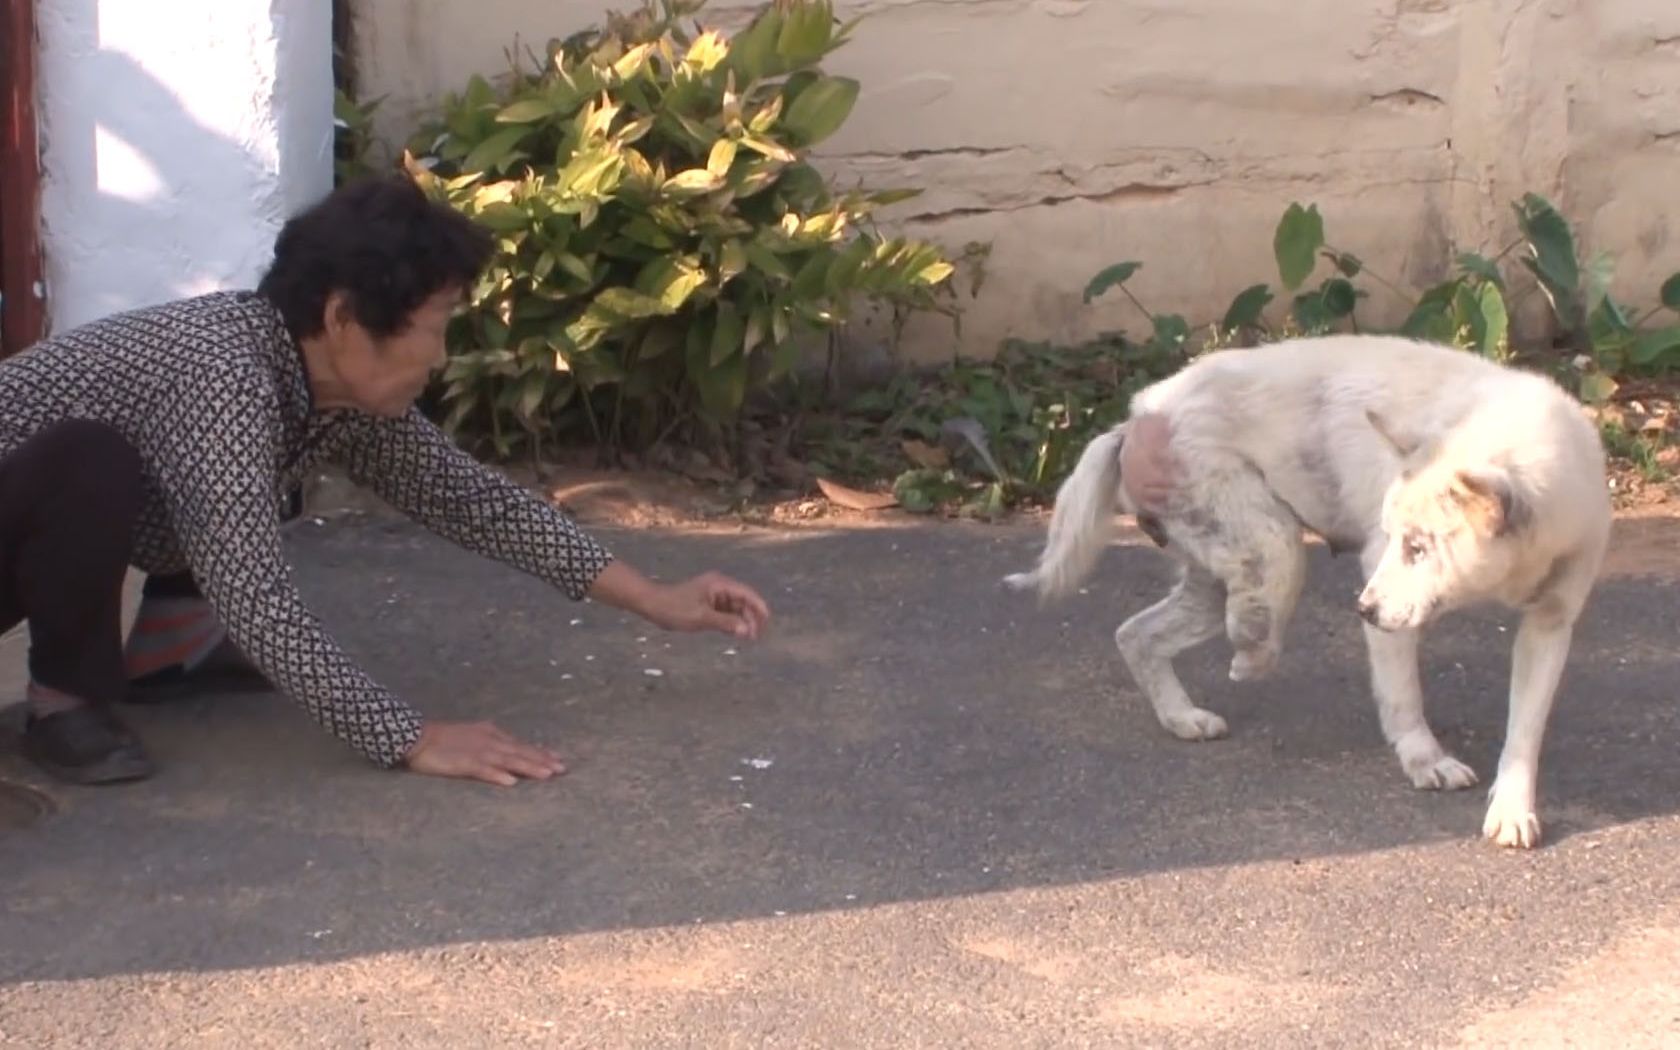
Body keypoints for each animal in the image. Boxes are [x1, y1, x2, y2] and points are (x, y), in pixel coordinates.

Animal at [1001, 330, 1619, 846]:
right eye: (1398, 540)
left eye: (1420, 549)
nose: (1361, 610)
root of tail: (1137, 416)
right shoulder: (1387, 604)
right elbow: (1404, 699)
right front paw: (1425, 761)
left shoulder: (1550, 626)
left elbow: (1525, 730)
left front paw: (1512, 809)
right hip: (1272, 548)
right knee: (1235, 621)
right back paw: (1249, 654)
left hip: (1217, 577)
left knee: (1136, 634)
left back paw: (1183, 717)